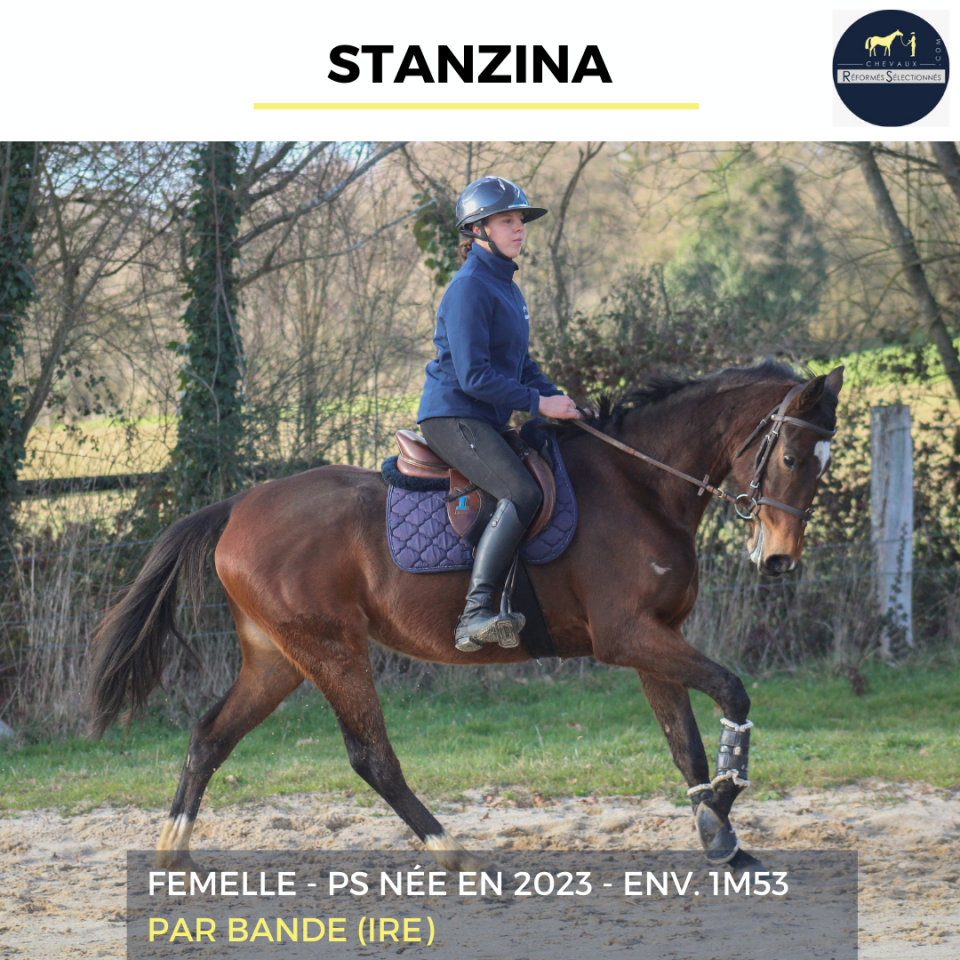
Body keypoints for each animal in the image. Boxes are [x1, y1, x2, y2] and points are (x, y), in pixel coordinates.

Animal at [88, 360, 843, 875]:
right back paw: (459, 857)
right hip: (331, 650)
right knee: (372, 758)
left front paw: (720, 834)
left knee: (211, 735)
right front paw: (725, 807)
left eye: (822, 466)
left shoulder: (656, 639)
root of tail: (238, 507)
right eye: (791, 456)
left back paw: (173, 853)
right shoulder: (630, 637)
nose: (779, 560)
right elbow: (733, 695)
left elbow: (683, 742)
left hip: (278, 657)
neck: (642, 486)